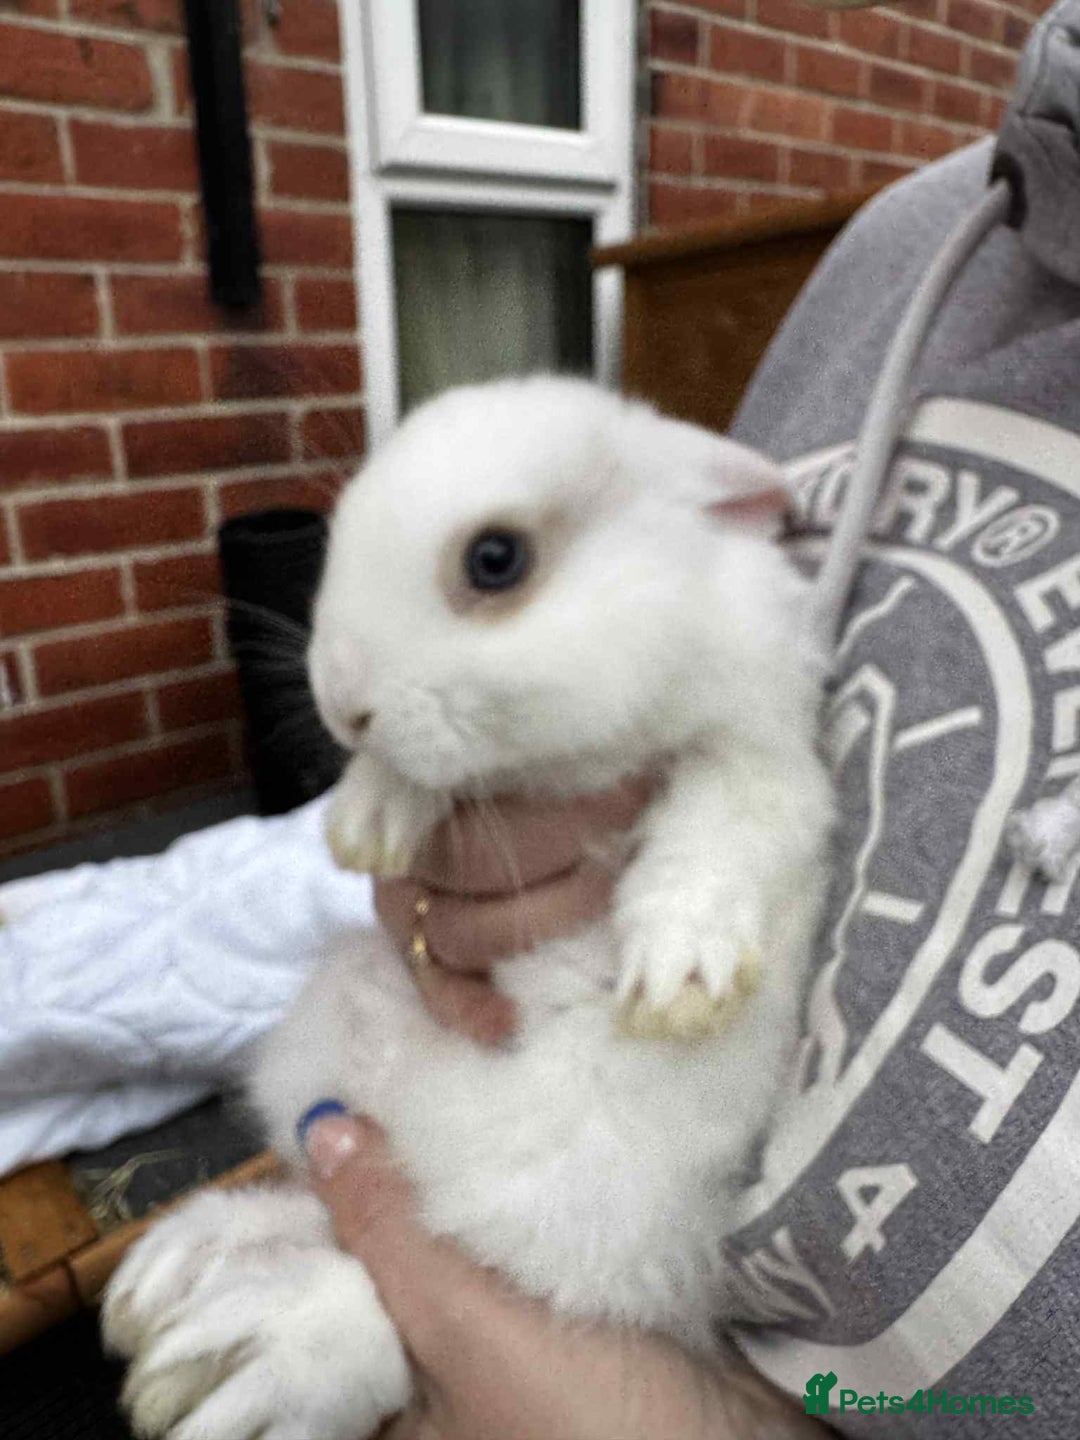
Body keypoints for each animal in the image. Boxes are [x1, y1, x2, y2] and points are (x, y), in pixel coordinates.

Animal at [102, 376, 832, 1440]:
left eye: (495, 559)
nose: (342, 701)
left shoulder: (763, 753)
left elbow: (721, 815)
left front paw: (679, 975)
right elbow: (417, 778)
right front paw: (367, 817)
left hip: (550, 1215)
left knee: (388, 1287)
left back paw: (249, 1358)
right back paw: (177, 1279)